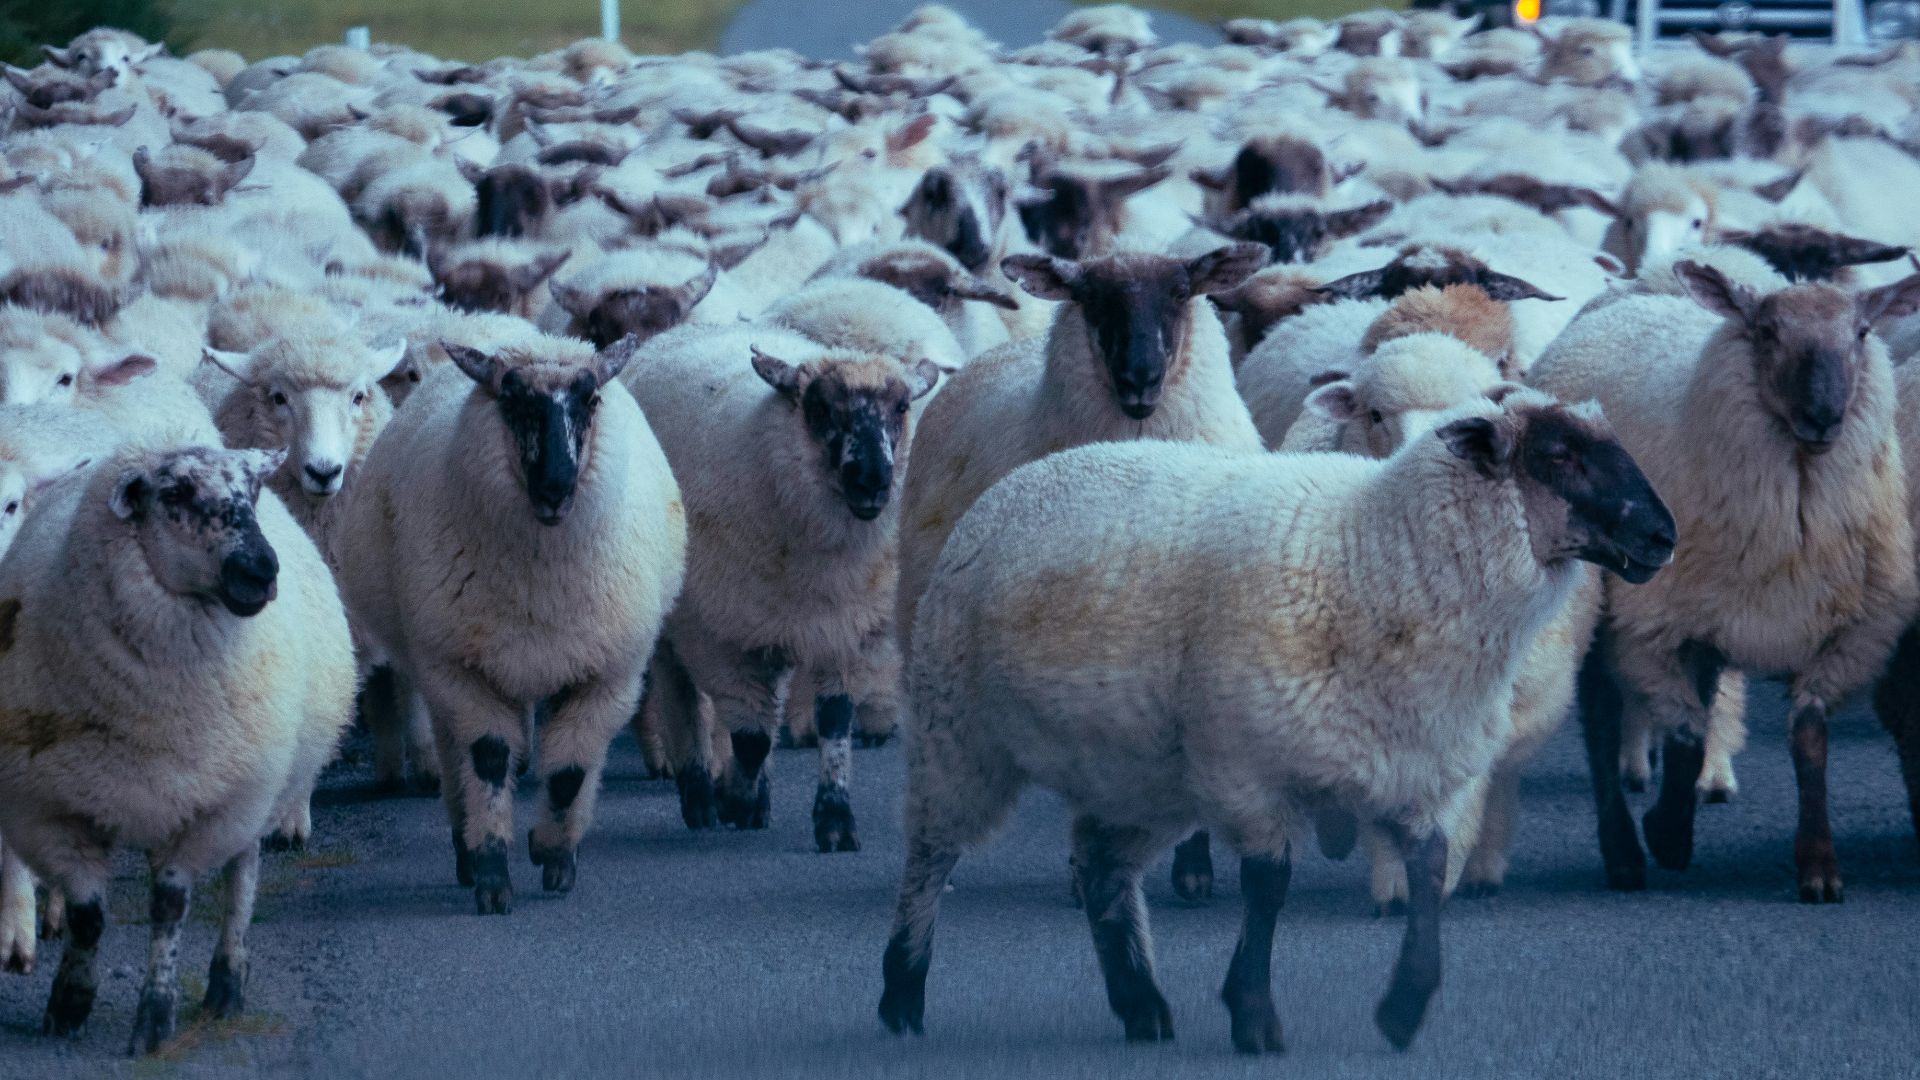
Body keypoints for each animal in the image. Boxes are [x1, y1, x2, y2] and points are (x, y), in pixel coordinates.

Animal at [0, 443, 355, 1053]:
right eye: (173, 494)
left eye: (252, 490)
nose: (262, 571)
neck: (150, 708)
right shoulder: (54, 810)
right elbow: (88, 916)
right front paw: (69, 1004)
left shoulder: (207, 811)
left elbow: (170, 910)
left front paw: (154, 1020)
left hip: (252, 790)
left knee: (242, 878)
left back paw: (227, 984)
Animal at [333, 333, 685, 914]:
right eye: (512, 400)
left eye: (591, 400)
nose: (556, 490)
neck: (538, 580)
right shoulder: (461, 668)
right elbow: (490, 758)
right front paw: (492, 872)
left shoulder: (606, 674)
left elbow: (569, 774)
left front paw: (553, 852)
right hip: (441, 663)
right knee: (455, 750)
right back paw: (464, 843)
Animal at [621, 322, 940, 852]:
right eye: (821, 408)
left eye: (900, 408)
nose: (873, 480)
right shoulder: (719, 635)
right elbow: (749, 738)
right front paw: (735, 798)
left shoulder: (845, 629)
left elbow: (833, 722)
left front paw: (834, 821)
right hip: (683, 616)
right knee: (683, 693)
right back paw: (700, 794)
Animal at [878, 389, 1676, 1051]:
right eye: (1559, 455)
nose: (1663, 537)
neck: (1376, 556)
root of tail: (1022, 480)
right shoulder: (1246, 768)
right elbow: (1270, 884)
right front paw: (1254, 1016)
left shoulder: (1411, 762)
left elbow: (1426, 870)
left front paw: (1404, 1009)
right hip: (957, 730)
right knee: (930, 855)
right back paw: (902, 993)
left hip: (1141, 770)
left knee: (1101, 869)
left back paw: (1141, 1006)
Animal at [1528, 261, 1920, 900]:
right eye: (1766, 331)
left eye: (1862, 333)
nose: (1823, 416)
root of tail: (1645, 286)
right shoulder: (1650, 625)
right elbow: (1686, 736)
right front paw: (1666, 834)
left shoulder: (1847, 632)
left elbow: (1808, 739)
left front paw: (1819, 868)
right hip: (1600, 599)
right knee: (1601, 722)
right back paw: (1623, 854)